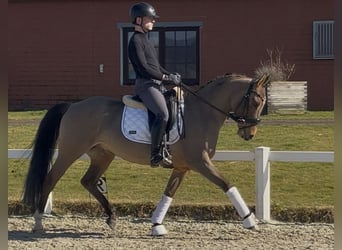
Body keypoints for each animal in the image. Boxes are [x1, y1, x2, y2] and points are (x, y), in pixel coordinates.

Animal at [22, 72, 272, 234]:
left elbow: (169, 193)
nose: (250, 133)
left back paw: (112, 218)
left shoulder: (183, 167)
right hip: (70, 152)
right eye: (256, 101)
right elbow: (227, 184)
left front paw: (157, 224)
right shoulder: (201, 162)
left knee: (89, 181)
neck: (203, 112)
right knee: (50, 180)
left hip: (103, 154)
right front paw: (250, 221)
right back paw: (38, 222)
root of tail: (73, 106)